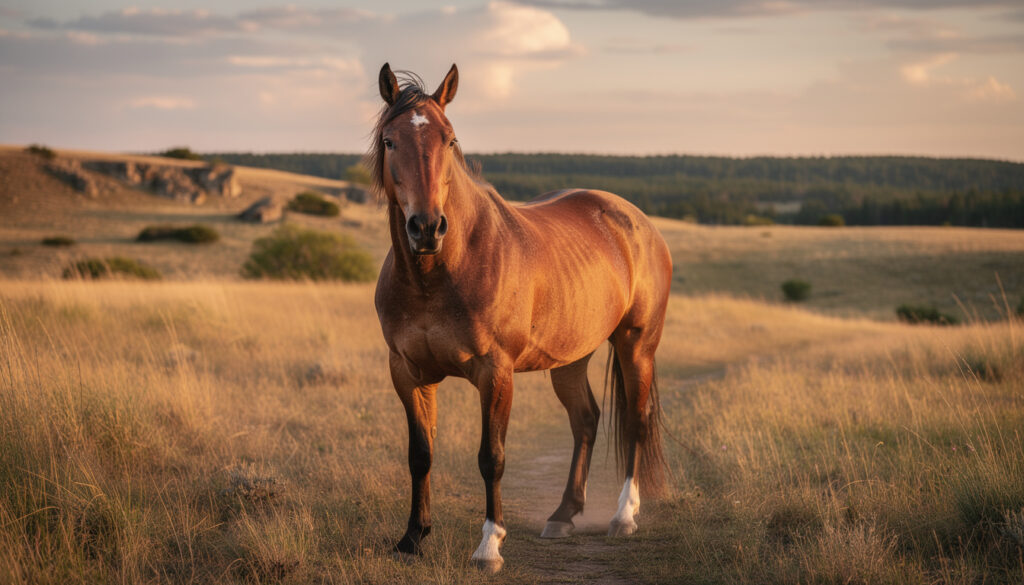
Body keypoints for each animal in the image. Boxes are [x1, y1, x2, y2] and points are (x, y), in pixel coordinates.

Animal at [370, 63, 673, 573]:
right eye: (390, 141)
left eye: (449, 139)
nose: (427, 228)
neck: (440, 273)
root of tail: (636, 221)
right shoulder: (407, 372)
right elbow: (420, 454)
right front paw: (412, 538)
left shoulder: (496, 372)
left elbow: (492, 457)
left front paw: (489, 546)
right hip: (571, 358)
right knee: (586, 419)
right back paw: (563, 516)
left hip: (636, 345)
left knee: (635, 420)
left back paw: (623, 518)